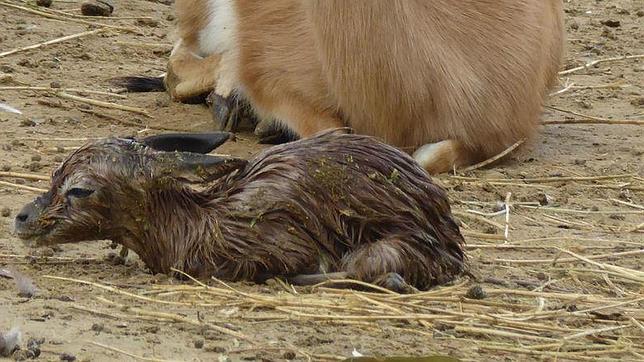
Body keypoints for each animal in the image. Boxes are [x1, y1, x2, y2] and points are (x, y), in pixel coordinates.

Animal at [15, 129, 466, 292]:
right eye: (54, 174)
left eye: (79, 189)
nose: (21, 217)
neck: (197, 224)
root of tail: (451, 241)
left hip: (383, 250)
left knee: (374, 273)